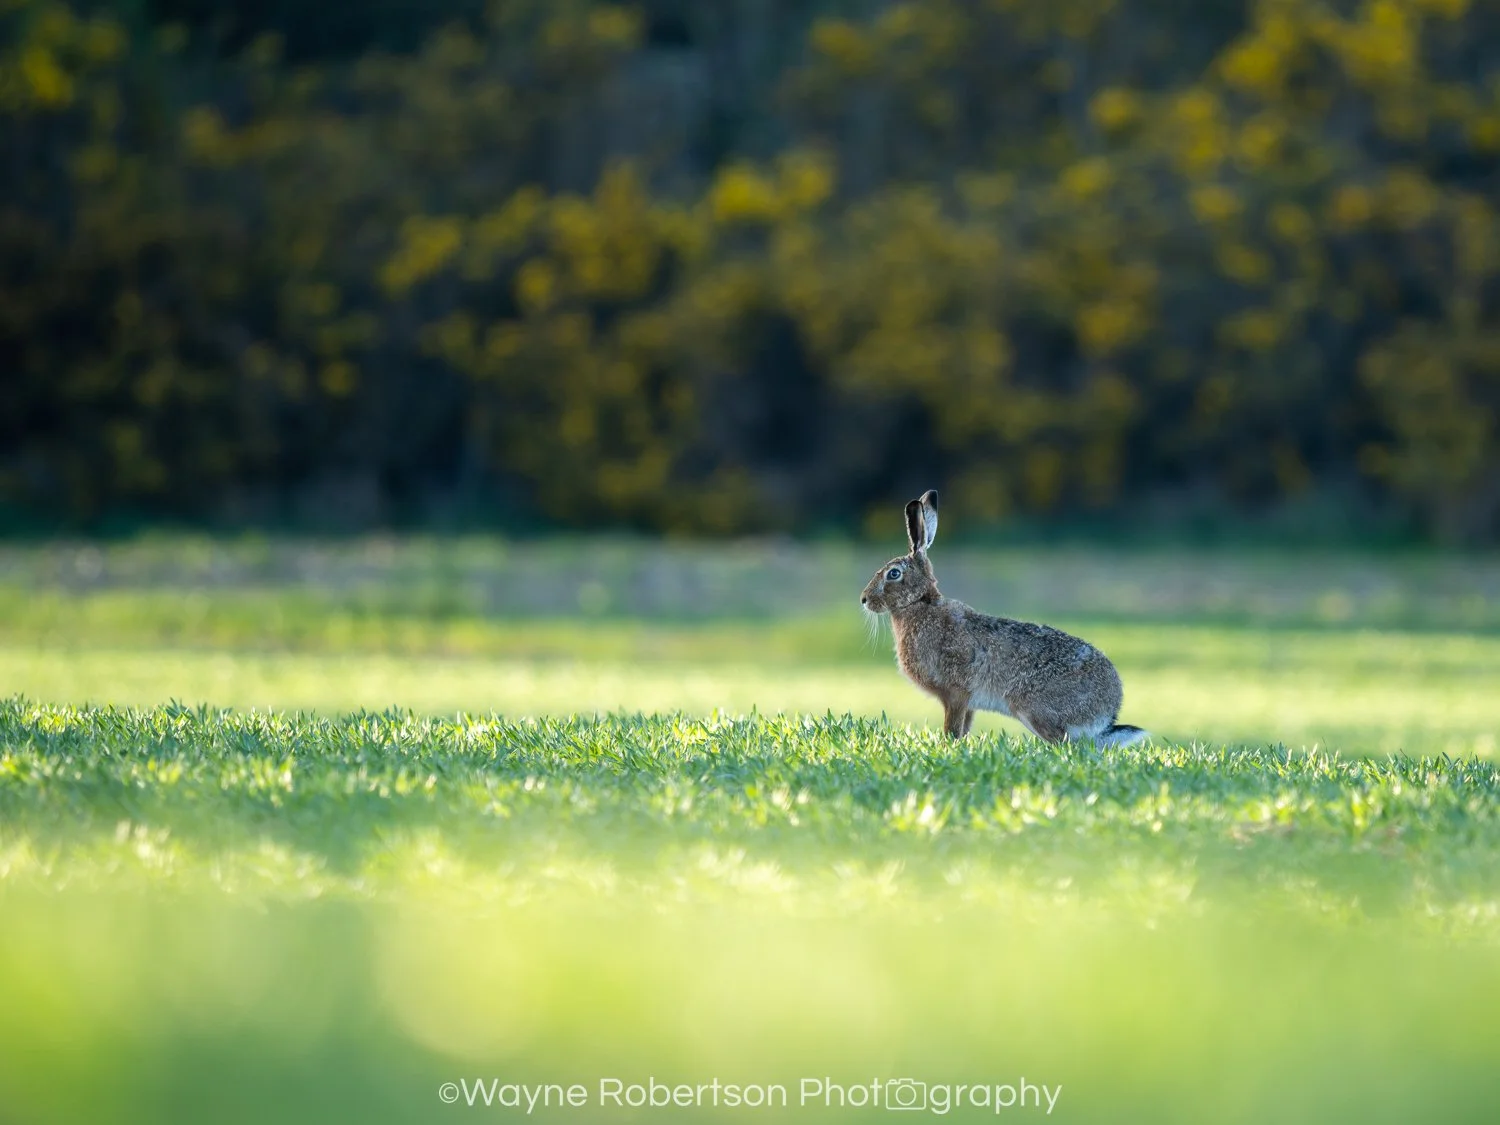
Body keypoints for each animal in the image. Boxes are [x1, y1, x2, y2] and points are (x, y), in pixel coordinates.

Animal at [860, 489, 1149, 746]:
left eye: (893, 574)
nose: (864, 599)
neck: (920, 603)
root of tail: (1107, 713)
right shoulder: (967, 703)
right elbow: (964, 728)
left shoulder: (956, 693)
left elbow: (952, 728)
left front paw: (947, 747)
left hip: (1032, 708)